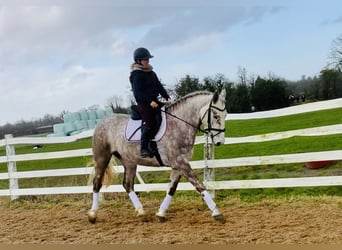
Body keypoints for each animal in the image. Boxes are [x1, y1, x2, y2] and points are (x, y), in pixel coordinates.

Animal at [88, 89, 227, 224]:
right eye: (215, 116)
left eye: (225, 115)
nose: (220, 142)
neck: (179, 124)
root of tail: (101, 122)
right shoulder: (181, 163)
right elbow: (199, 185)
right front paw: (216, 213)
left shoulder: (178, 165)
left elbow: (171, 189)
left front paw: (161, 214)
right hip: (102, 158)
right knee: (97, 183)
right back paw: (92, 215)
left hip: (129, 162)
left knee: (128, 185)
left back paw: (141, 213)